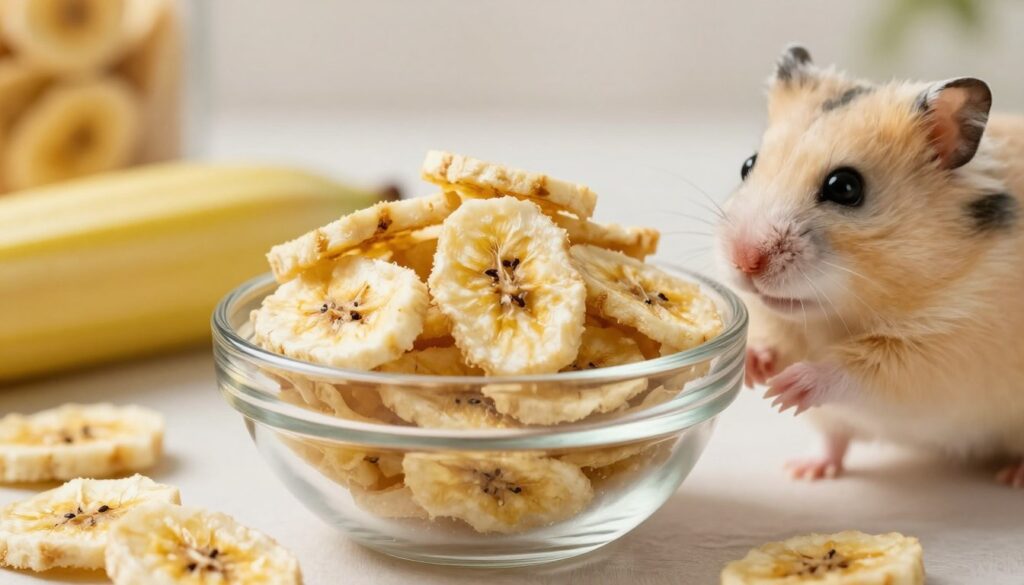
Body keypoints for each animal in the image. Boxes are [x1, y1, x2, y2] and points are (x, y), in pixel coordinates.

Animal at [717, 44, 1024, 487]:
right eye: (748, 164)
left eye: (845, 187)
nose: (744, 260)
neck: (834, 318)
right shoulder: (775, 319)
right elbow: (772, 337)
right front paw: (757, 372)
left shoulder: (948, 350)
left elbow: (862, 369)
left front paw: (786, 391)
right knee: (833, 440)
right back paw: (805, 471)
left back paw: (1013, 476)